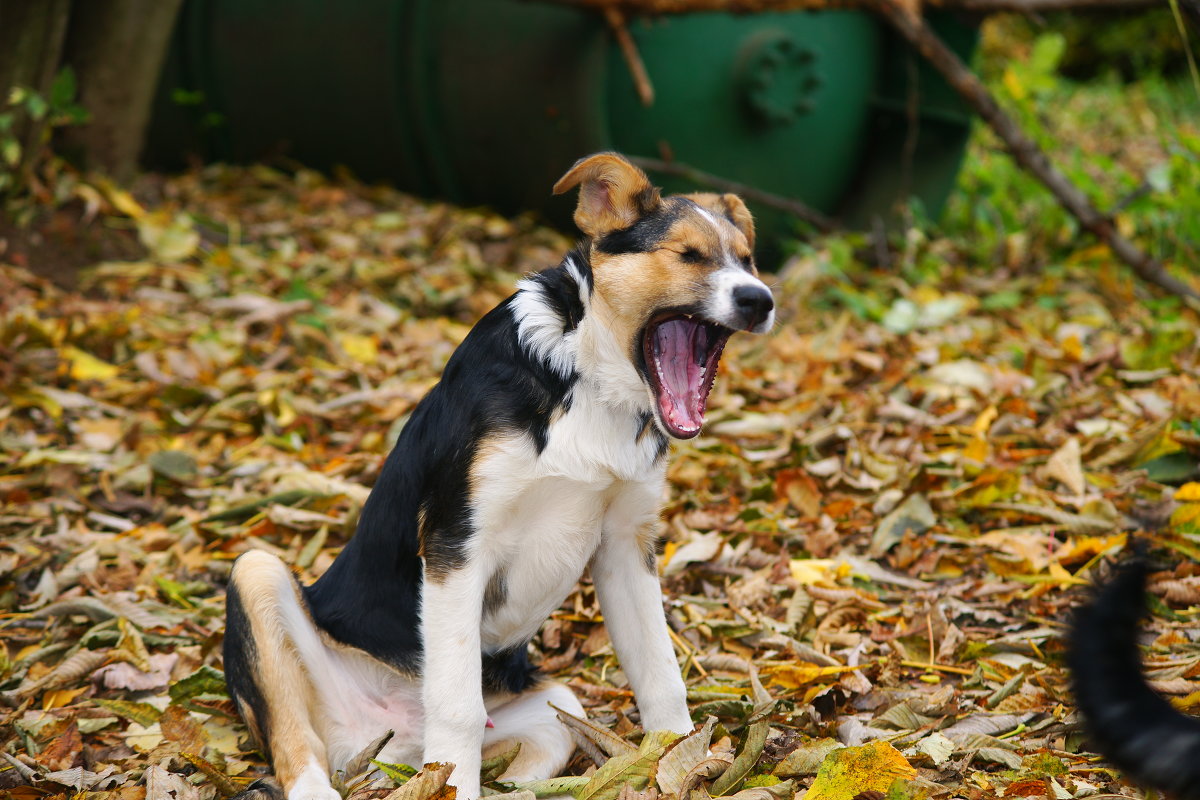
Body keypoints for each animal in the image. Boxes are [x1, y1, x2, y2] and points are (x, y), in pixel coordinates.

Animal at [225, 151, 777, 800]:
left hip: (556, 706)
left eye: (748, 260)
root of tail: (382, 746)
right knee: (298, 746)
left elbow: (660, 673)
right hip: (257, 575)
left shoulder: (625, 545)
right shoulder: (456, 543)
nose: (761, 300)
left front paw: (679, 759)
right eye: (688, 255)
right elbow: (458, 705)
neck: (586, 378)